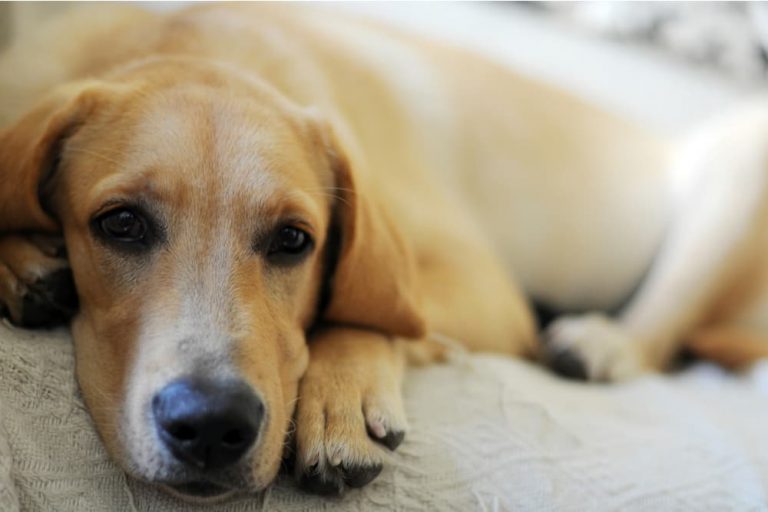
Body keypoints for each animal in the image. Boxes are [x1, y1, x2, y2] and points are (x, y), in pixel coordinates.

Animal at [1, 2, 768, 502]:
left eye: (294, 241)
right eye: (121, 224)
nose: (213, 425)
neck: (201, 48)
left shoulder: (480, 284)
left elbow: (371, 310)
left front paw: (343, 398)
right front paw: (21, 262)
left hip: (742, 165)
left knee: (659, 333)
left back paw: (597, 343)